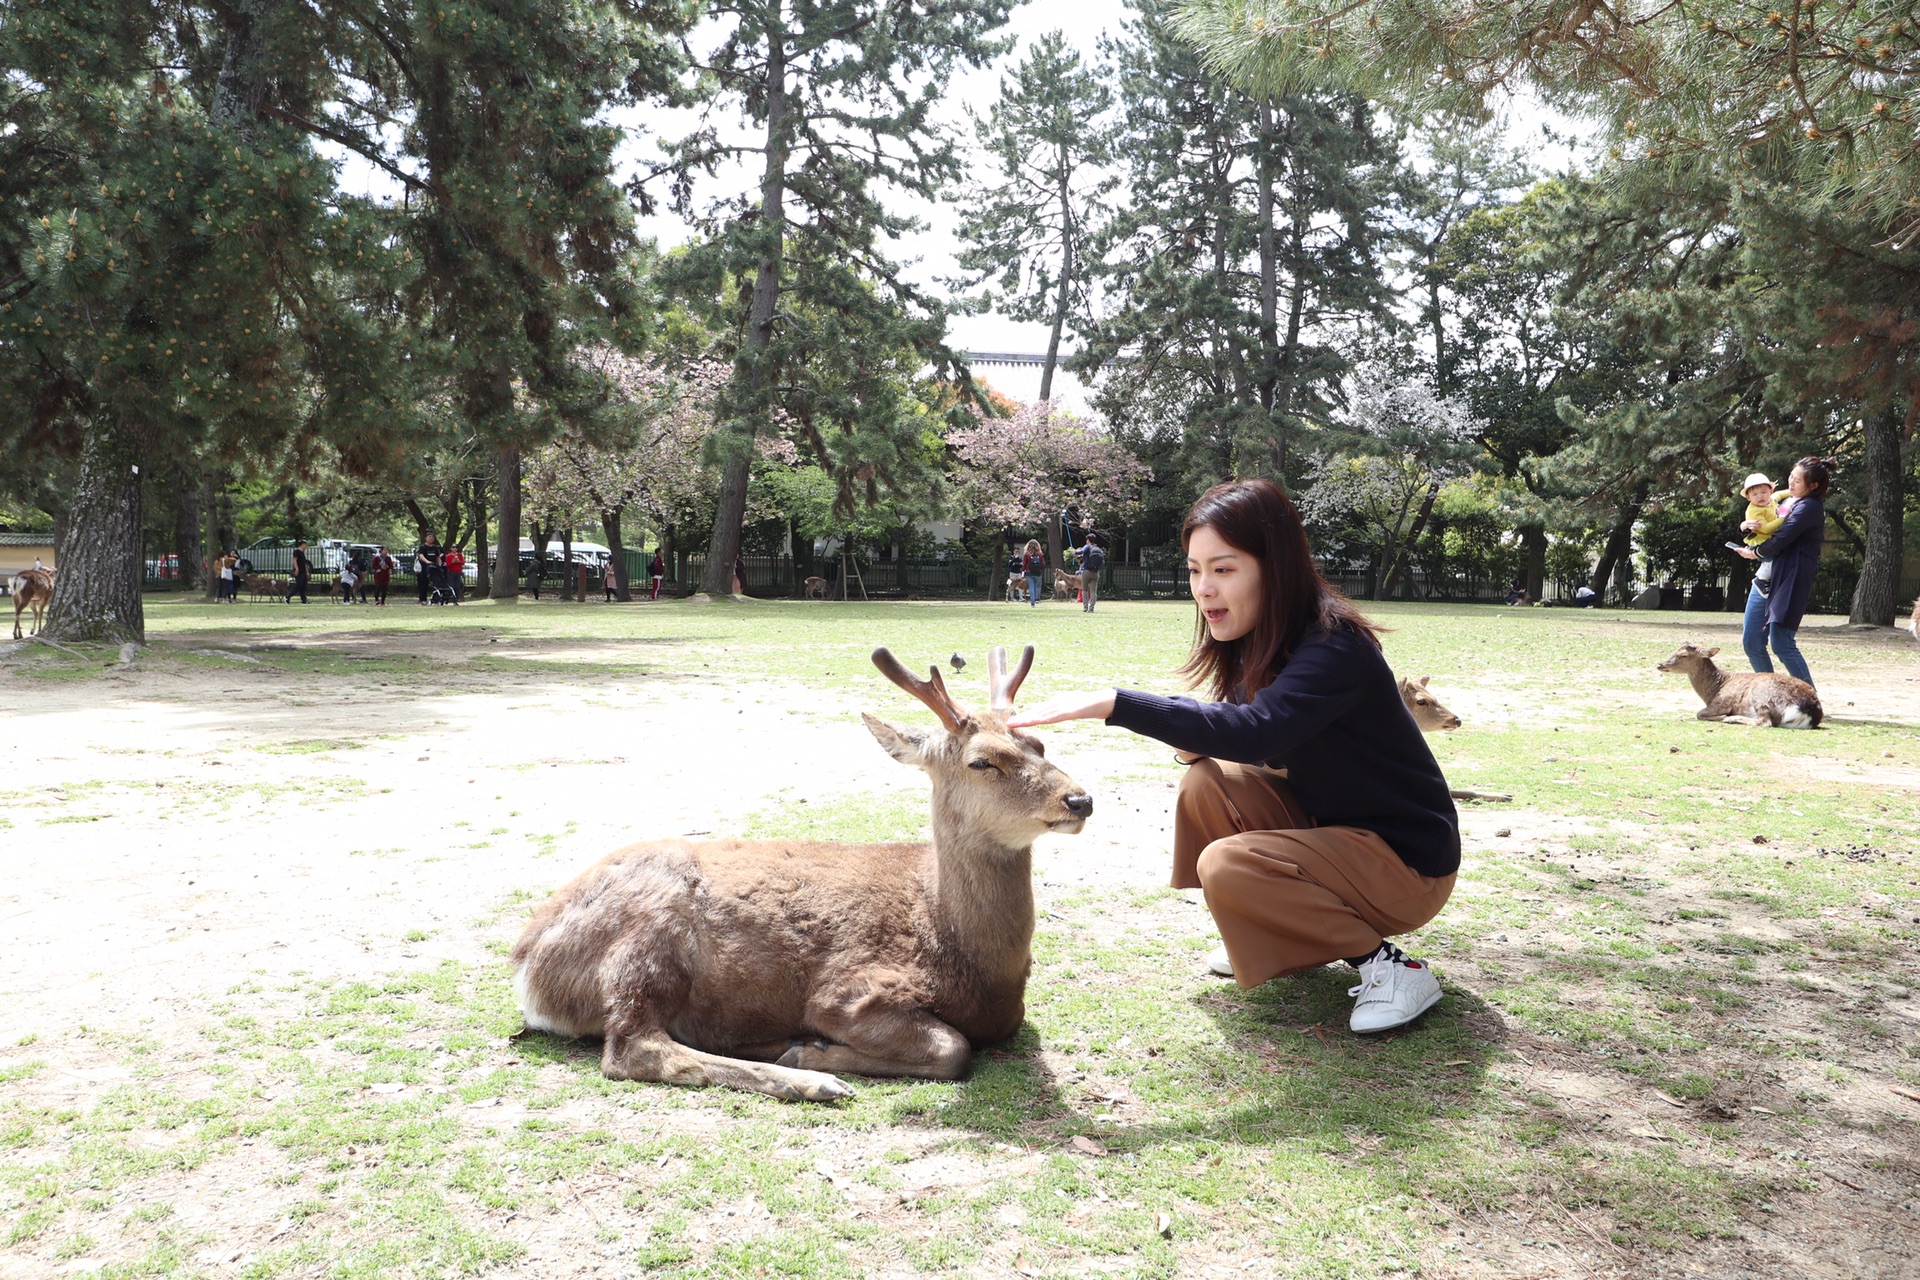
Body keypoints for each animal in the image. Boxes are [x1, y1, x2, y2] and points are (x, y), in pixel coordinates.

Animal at [506, 644, 1098, 1105]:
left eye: (1040, 744)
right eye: (981, 762)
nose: (1080, 799)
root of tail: (527, 962)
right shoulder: (848, 991)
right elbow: (954, 1049)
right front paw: (812, 1051)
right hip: (647, 942)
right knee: (633, 1048)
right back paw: (809, 1078)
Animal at [1658, 640, 1820, 729]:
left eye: (1683, 655)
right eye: (1675, 650)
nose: (1660, 664)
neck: (1715, 689)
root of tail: (1811, 708)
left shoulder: (1722, 702)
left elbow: (1699, 713)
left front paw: (1724, 716)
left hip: (1762, 696)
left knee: (1765, 722)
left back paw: (1731, 719)